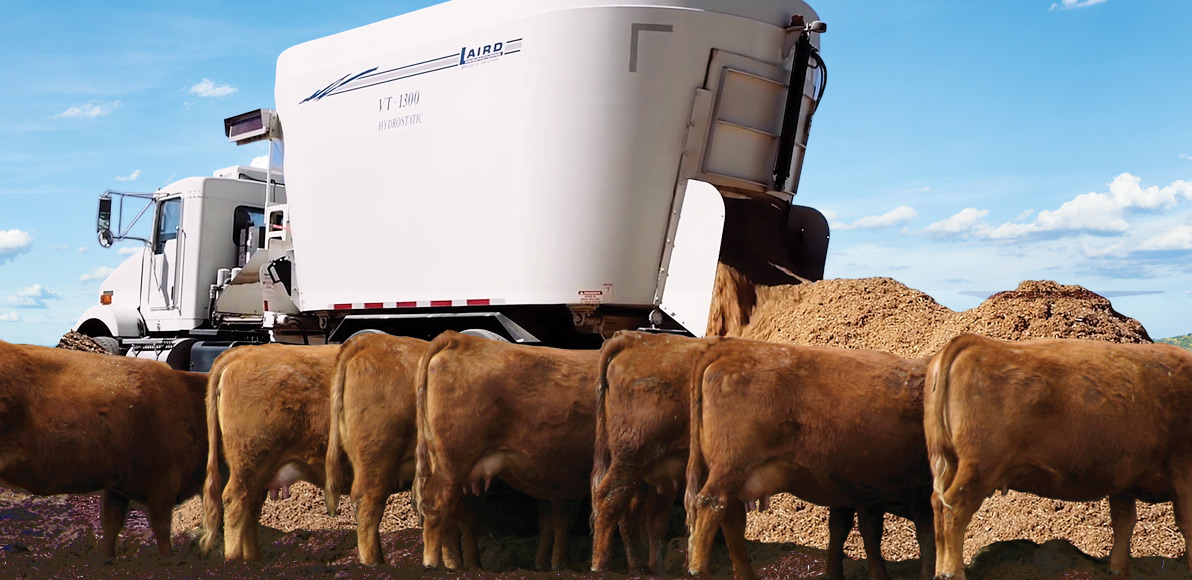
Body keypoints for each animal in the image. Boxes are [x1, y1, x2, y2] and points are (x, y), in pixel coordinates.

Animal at [0, 340, 208, 559]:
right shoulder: (164, 481)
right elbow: (161, 529)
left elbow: (111, 524)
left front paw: (108, 558)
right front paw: (168, 559)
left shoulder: (119, 486)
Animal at [413, 331, 599, 571]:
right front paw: (560, 565)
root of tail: (458, 339)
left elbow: (553, 520)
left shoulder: (560, 477)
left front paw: (549, 564)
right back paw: (436, 563)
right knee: (438, 506)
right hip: (453, 461)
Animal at [590, 330, 726, 575]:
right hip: (632, 455)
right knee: (610, 497)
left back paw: (643, 567)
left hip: (642, 465)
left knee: (634, 511)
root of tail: (630, 338)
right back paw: (600, 565)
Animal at [685, 337, 936, 580]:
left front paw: (835, 573)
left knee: (731, 518)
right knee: (710, 503)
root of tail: (733, 346)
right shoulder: (899, 492)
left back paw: (746, 575)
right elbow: (917, 535)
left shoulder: (855, 490)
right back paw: (701, 570)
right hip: (731, 466)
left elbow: (845, 528)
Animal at [925, 333, 1192, 580]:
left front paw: (1118, 570)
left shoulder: (1124, 480)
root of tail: (974, 341)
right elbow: (1186, 523)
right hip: (979, 467)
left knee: (938, 506)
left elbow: (1124, 523)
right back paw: (952, 572)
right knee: (955, 509)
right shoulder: (1183, 475)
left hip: (951, 463)